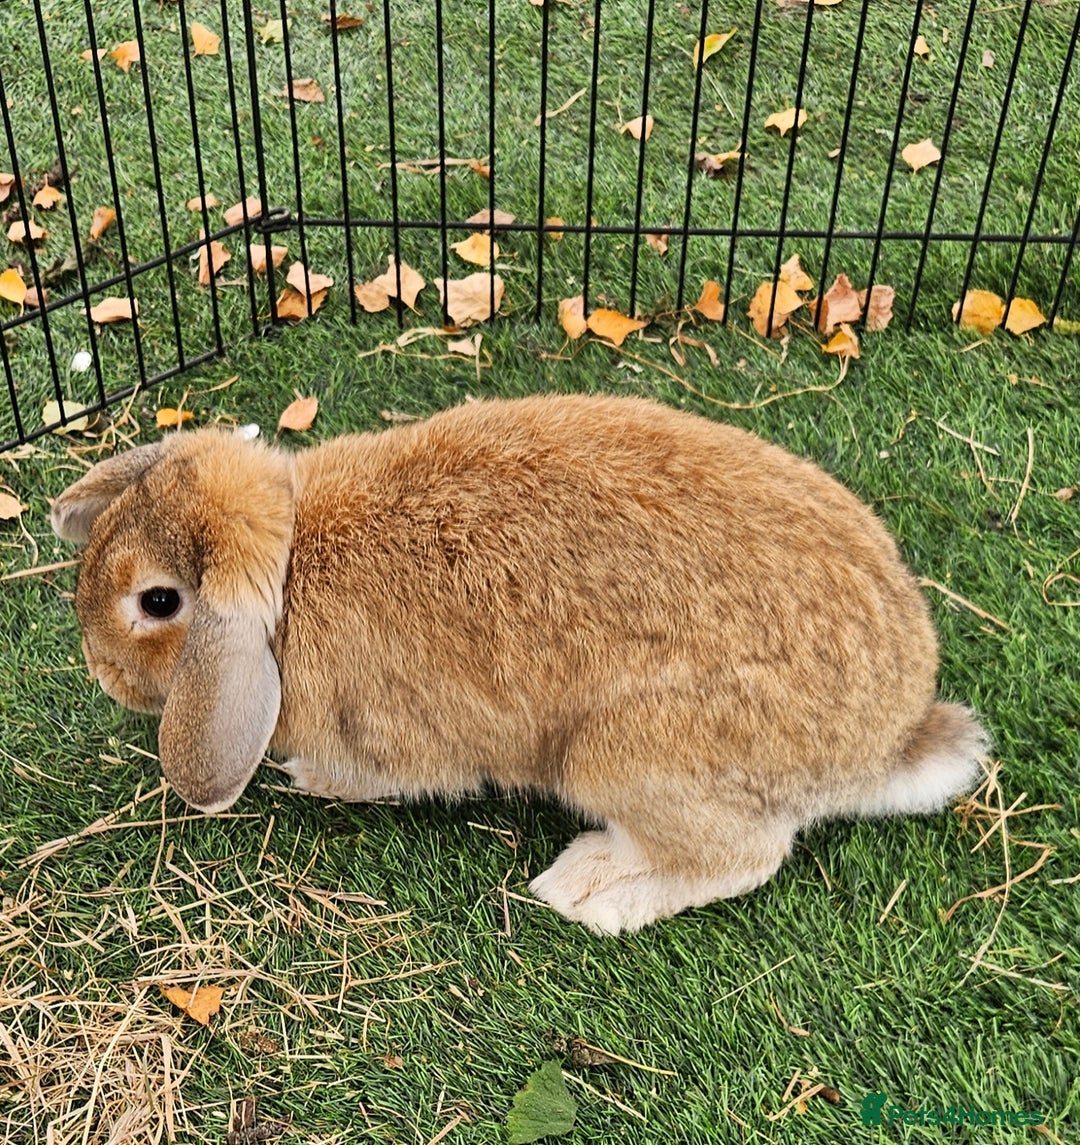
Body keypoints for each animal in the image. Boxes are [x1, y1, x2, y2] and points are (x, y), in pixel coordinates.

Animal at [50, 393, 987, 934]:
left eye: (157, 603)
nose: (98, 670)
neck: (290, 569)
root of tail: (891, 742)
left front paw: (312, 777)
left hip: (622, 754)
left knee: (746, 856)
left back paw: (592, 889)